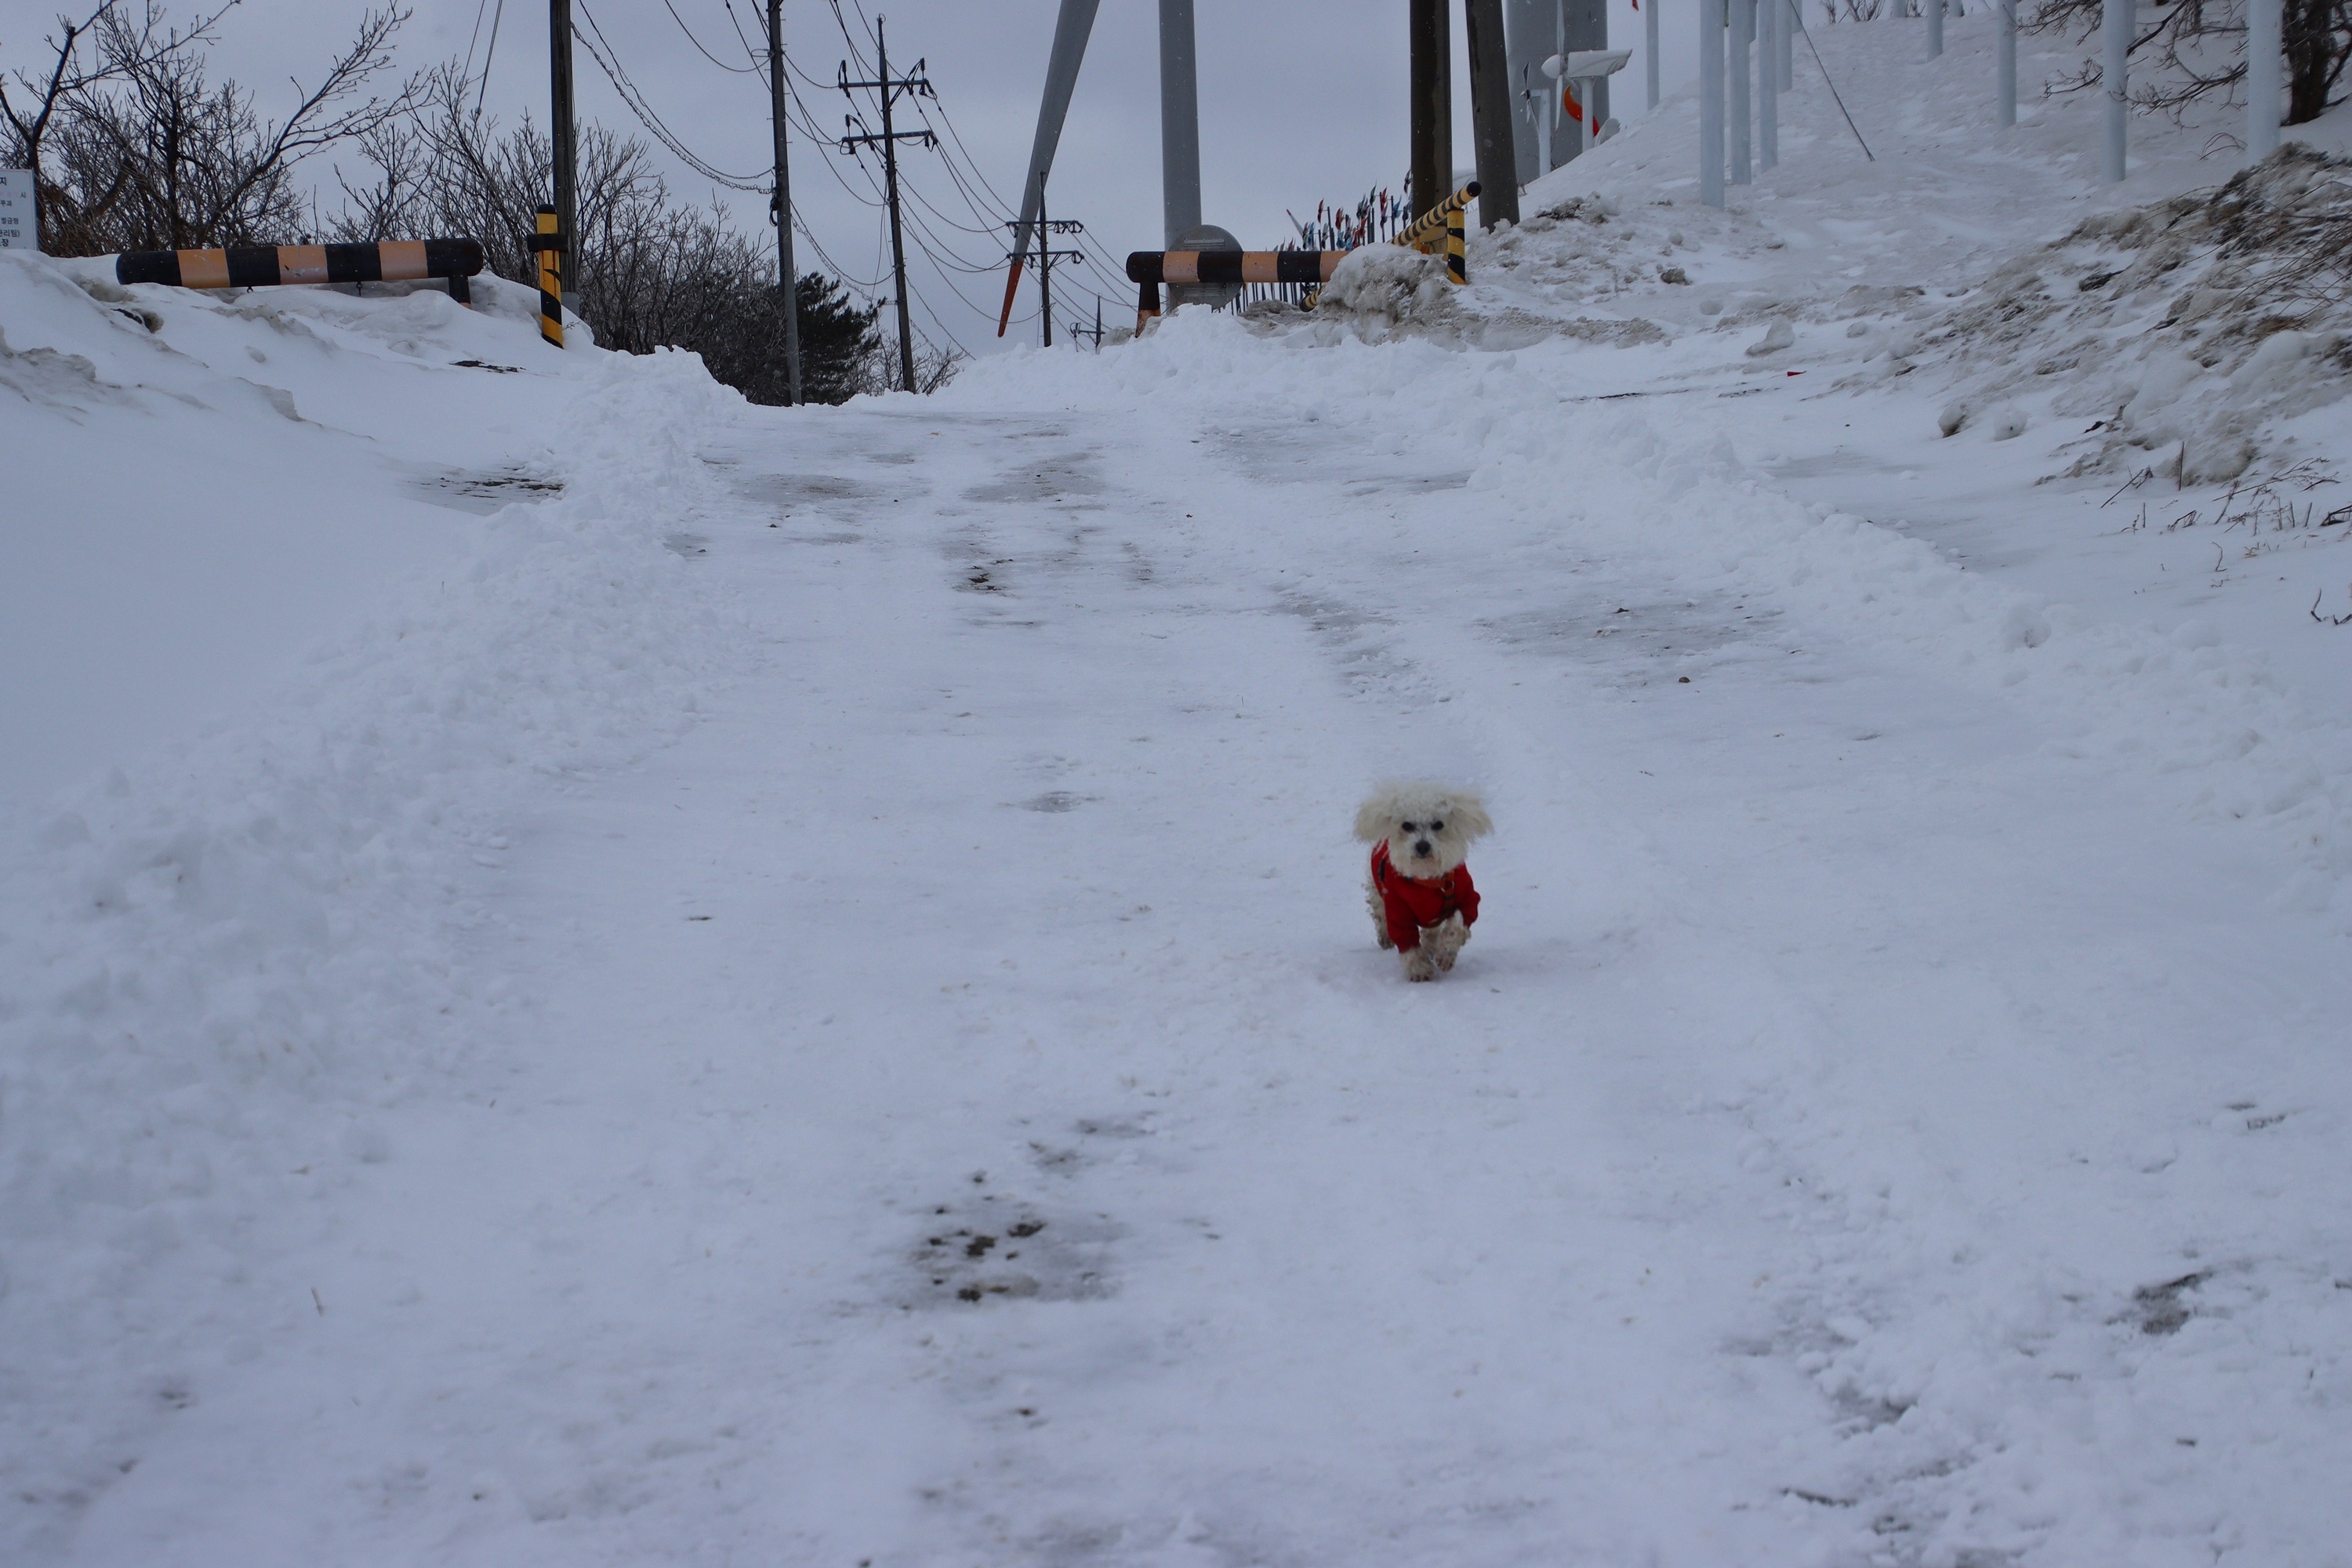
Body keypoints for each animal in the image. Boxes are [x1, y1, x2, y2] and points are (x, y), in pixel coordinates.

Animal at [1354, 782, 1492, 981]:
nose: (1422, 845)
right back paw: (1386, 938)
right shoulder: (1398, 910)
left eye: (1438, 824)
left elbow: (1457, 925)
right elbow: (1408, 942)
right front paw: (1419, 969)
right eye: (1407, 825)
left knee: (1431, 932)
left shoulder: (1467, 899)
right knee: (1380, 915)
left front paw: (1446, 954)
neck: (1427, 879)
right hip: (1377, 891)